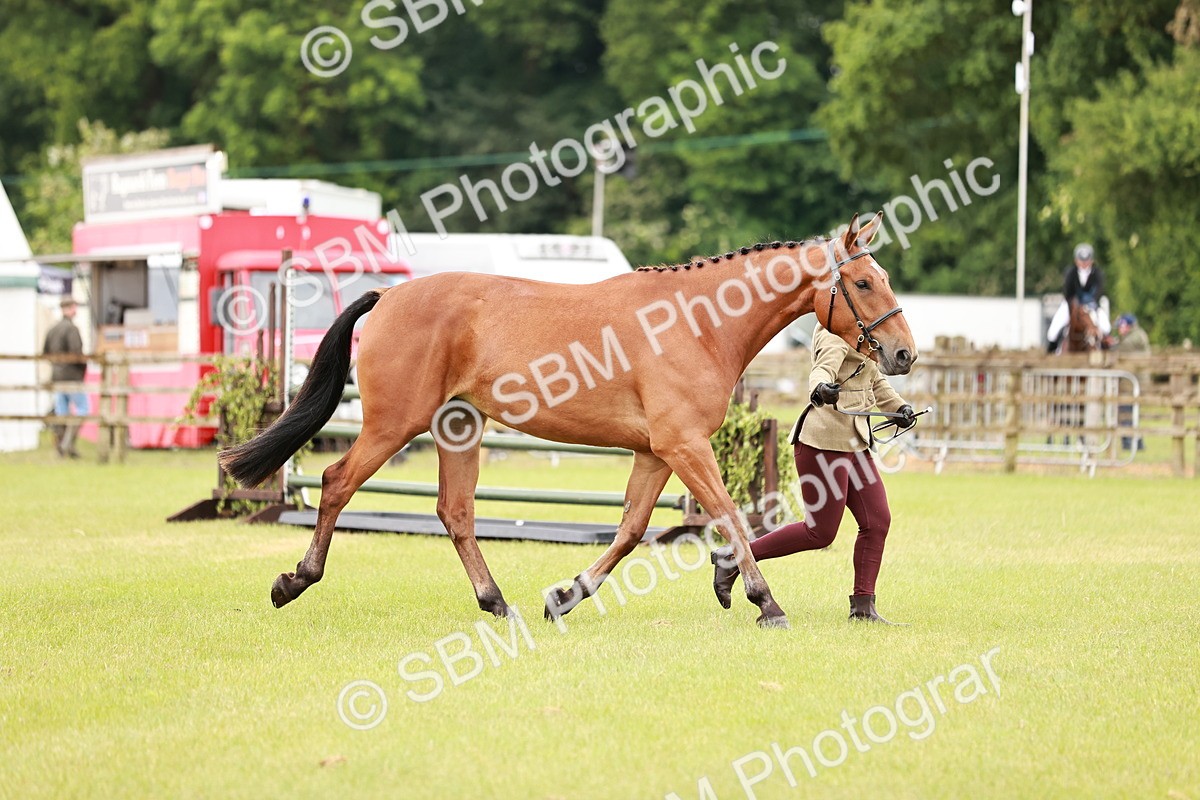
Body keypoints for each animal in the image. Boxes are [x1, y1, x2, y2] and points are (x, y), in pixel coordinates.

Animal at [220, 212, 917, 629]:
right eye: (863, 282)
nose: (904, 354)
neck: (698, 322)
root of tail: (390, 293)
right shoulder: (685, 446)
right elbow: (728, 515)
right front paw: (763, 601)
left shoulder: (655, 452)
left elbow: (631, 530)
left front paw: (566, 595)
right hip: (394, 425)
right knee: (337, 482)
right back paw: (294, 582)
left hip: (457, 428)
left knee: (456, 512)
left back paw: (498, 604)